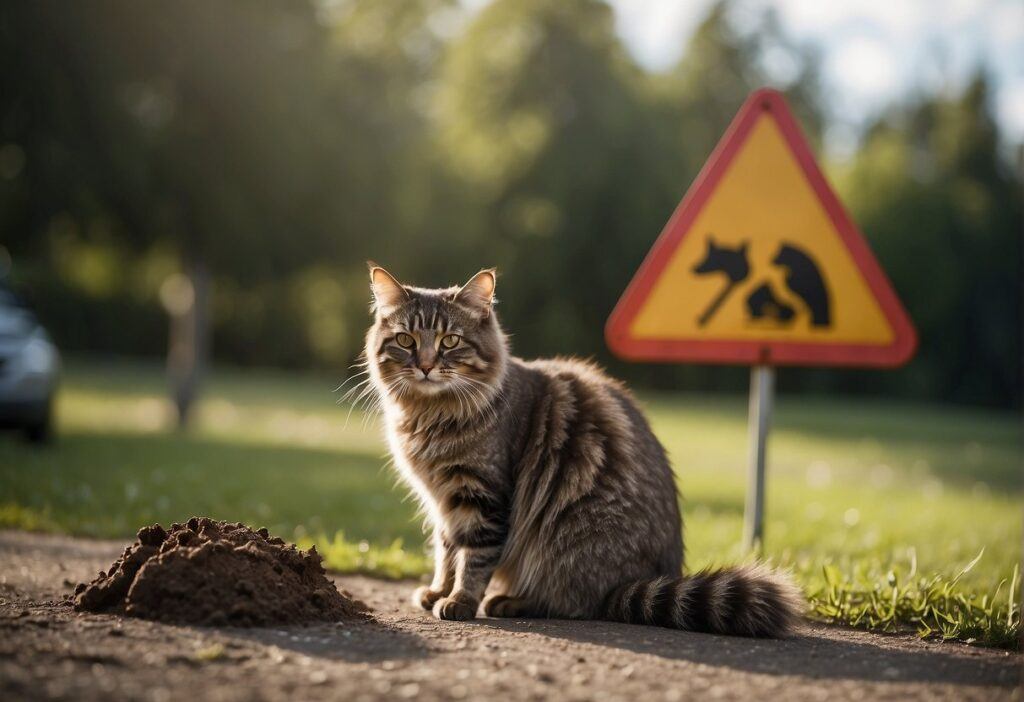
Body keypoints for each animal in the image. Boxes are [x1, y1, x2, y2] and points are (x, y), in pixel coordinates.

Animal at [364, 264, 802, 638]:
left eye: (450, 341)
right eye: (406, 340)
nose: (425, 366)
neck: (429, 415)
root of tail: (638, 582)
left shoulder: (481, 496)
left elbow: (473, 558)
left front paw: (459, 601)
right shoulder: (441, 502)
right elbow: (445, 552)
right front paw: (438, 591)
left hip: (564, 543)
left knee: (575, 603)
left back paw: (509, 601)